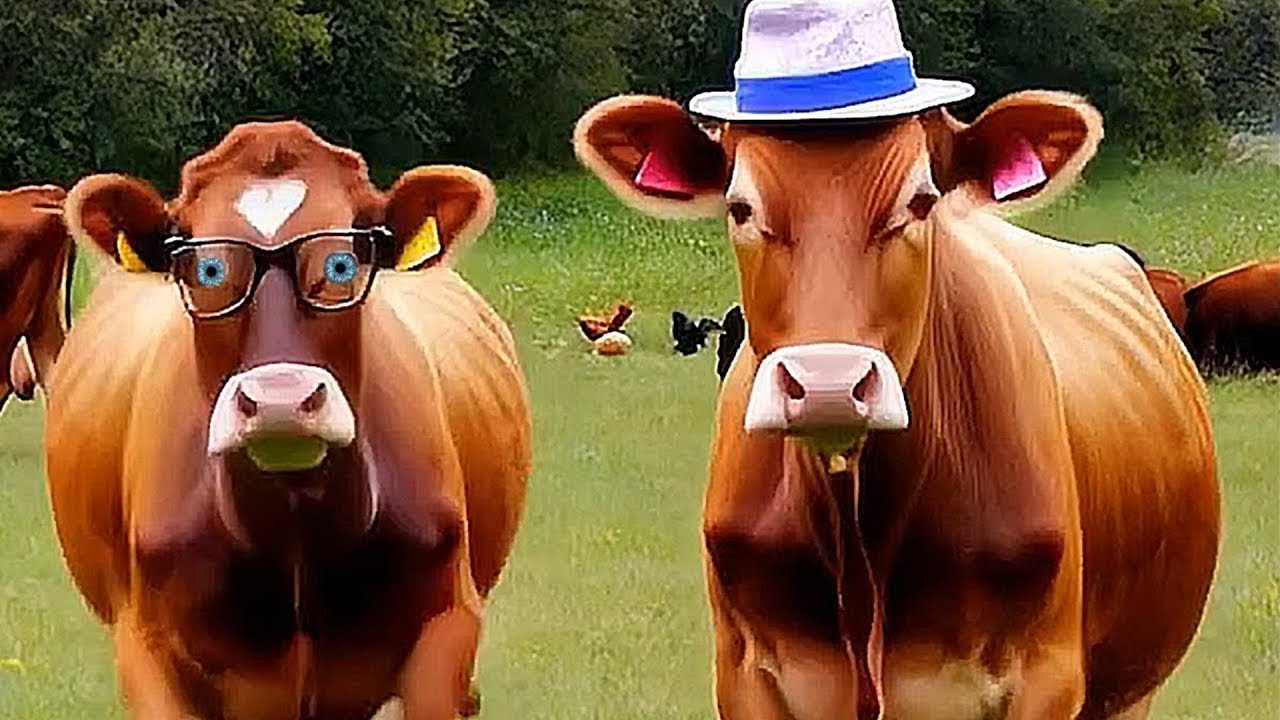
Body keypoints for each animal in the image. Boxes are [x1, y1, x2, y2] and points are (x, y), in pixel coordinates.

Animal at [45, 121, 530, 720]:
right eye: (206, 268)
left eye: (343, 263)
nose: (281, 398)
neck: (293, 516)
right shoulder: (145, 644)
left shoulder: (448, 624)